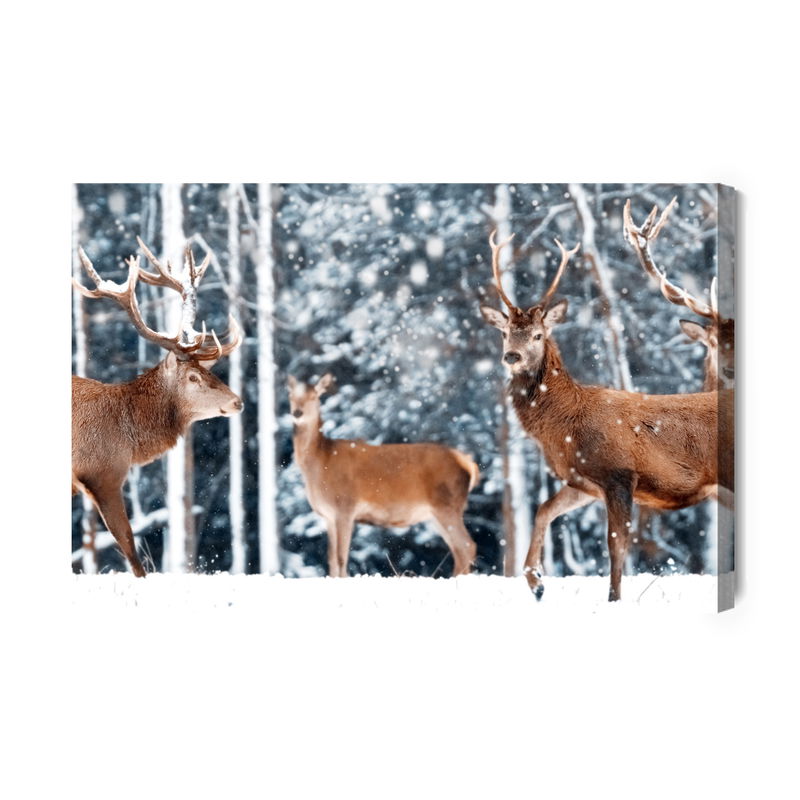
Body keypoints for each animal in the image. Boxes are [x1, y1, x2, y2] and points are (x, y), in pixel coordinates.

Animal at [288, 374, 481, 578]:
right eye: (291, 395)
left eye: (314, 396)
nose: (297, 413)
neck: (321, 461)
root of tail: (468, 463)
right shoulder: (328, 516)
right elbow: (331, 559)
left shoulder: (345, 507)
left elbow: (341, 558)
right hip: (437, 513)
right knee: (459, 549)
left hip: (447, 505)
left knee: (467, 546)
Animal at [479, 231, 733, 601]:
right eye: (505, 332)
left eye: (538, 335)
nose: (512, 356)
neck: (564, 426)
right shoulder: (582, 480)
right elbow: (544, 510)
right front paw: (536, 581)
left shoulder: (619, 473)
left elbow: (616, 546)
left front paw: (613, 599)